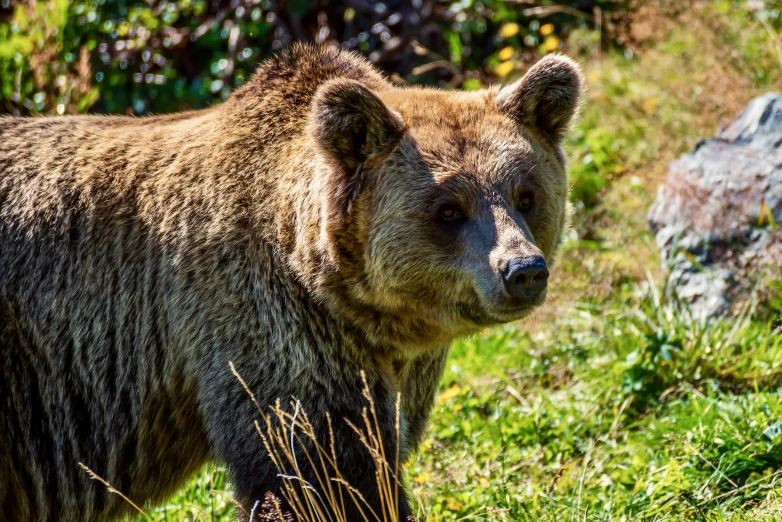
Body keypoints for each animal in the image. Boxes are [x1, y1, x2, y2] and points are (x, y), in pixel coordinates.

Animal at [0, 44, 580, 520]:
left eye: (525, 194)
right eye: (449, 208)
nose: (523, 270)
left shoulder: (395, 364)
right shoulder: (266, 321)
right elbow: (321, 466)